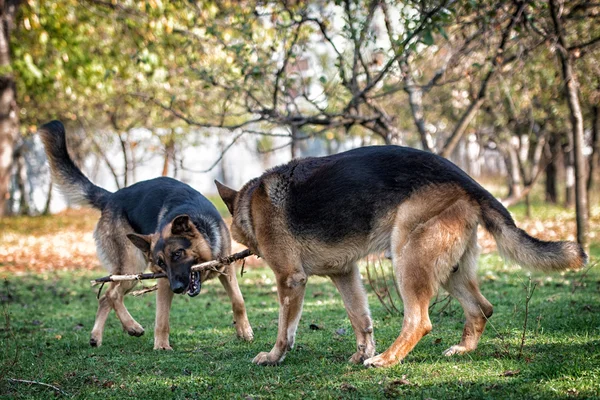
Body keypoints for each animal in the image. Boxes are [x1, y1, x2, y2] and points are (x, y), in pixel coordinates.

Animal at [37, 121, 253, 350]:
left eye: (177, 254)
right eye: (161, 262)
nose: (178, 288)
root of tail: (111, 197)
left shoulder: (226, 268)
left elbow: (238, 301)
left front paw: (244, 331)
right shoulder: (164, 281)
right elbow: (162, 317)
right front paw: (161, 345)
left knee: (106, 297)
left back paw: (97, 336)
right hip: (133, 266)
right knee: (112, 295)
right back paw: (131, 326)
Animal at [216, 145, 584, 368]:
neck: (251, 202)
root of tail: (467, 181)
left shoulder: (290, 280)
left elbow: (285, 328)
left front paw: (274, 355)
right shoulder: (344, 273)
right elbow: (360, 318)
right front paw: (361, 352)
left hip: (408, 258)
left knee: (419, 320)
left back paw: (387, 359)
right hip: (449, 269)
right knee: (482, 308)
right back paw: (461, 349)